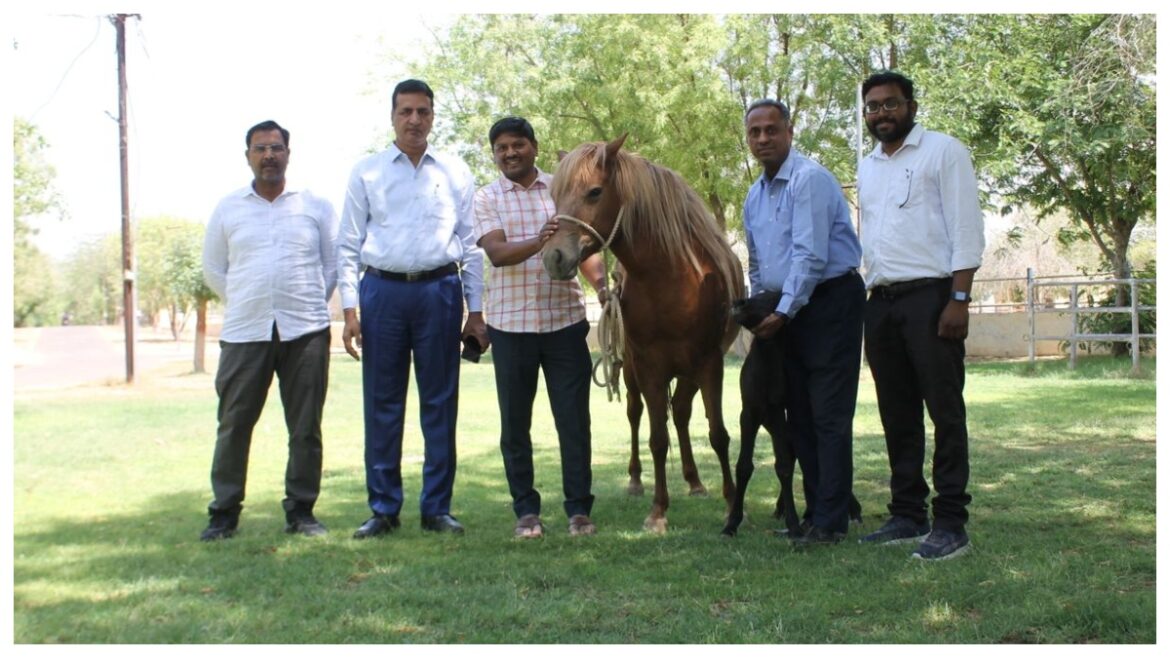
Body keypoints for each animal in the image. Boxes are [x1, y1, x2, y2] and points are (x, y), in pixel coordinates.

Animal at [542, 135, 744, 533]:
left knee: (680, 412)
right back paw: (637, 481)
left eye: (594, 192)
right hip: (633, 372)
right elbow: (657, 438)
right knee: (637, 414)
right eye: (556, 195)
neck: (673, 279)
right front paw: (658, 511)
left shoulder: (710, 363)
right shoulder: (650, 367)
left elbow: (717, 433)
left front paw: (731, 504)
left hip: (689, 372)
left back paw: (695, 482)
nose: (553, 257)